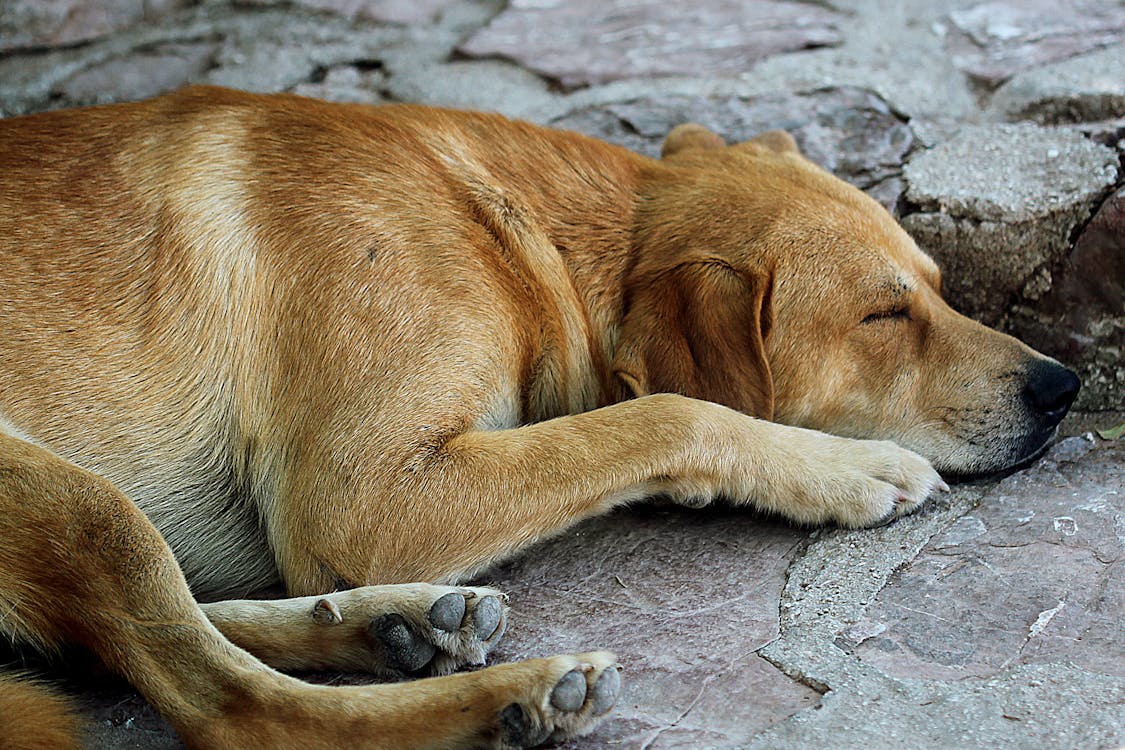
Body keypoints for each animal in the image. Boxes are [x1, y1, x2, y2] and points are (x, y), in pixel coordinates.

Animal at [0, 84, 1080, 746]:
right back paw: (503, 699)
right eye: (883, 315)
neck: (520, 242)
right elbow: (669, 414)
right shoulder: (361, 502)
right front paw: (836, 466)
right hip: (71, 493)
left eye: (936, 287)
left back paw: (397, 623)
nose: (1063, 389)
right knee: (228, 706)